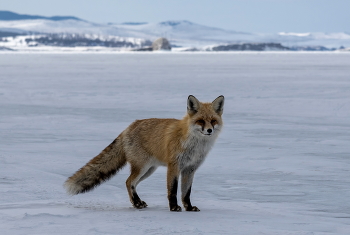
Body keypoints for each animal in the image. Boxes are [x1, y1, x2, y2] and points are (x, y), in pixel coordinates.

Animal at [65, 95, 224, 211]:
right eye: (201, 121)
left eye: (213, 121)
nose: (209, 130)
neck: (194, 144)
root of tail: (129, 127)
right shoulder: (174, 166)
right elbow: (172, 191)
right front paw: (173, 207)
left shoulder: (190, 169)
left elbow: (186, 193)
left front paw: (189, 208)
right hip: (142, 167)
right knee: (129, 182)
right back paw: (137, 204)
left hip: (149, 170)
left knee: (131, 183)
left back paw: (137, 202)